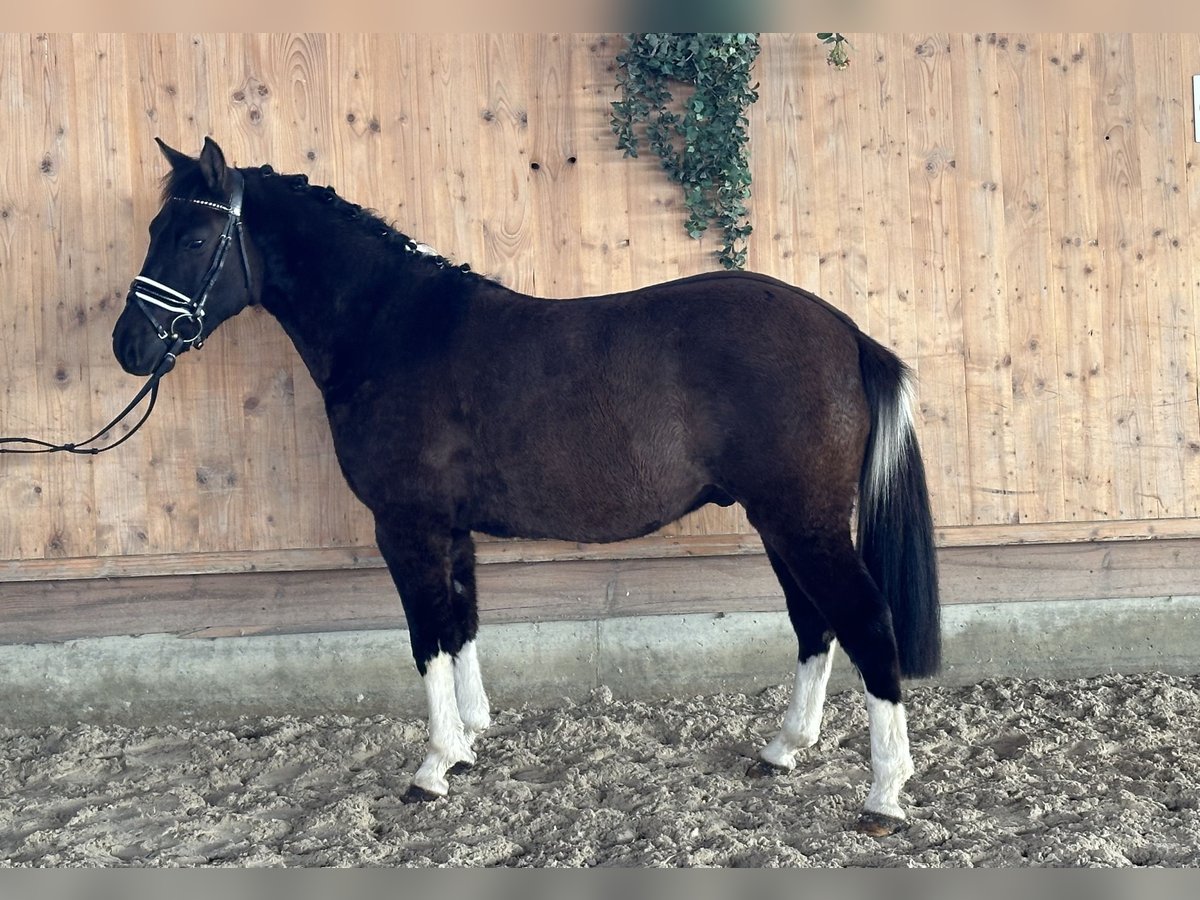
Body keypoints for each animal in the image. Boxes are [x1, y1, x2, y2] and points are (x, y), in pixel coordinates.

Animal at [110, 139, 936, 840]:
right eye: (153, 228)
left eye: (191, 239)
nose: (128, 345)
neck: (393, 329)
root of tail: (843, 331)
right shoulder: (451, 529)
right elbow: (462, 624)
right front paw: (470, 741)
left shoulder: (405, 526)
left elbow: (426, 636)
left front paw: (432, 766)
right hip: (780, 523)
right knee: (815, 624)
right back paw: (784, 749)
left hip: (803, 521)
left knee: (866, 622)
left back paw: (883, 794)